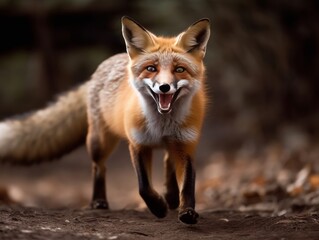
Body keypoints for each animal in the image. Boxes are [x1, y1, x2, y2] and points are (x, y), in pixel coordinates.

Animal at [0, 16, 212, 225]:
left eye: (179, 69)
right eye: (151, 68)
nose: (164, 87)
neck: (161, 124)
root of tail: (107, 63)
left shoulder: (186, 145)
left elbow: (188, 185)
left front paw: (187, 212)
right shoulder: (138, 144)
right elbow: (144, 186)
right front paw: (159, 207)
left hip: (168, 144)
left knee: (168, 161)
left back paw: (171, 197)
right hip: (99, 142)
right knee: (99, 167)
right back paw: (98, 201)